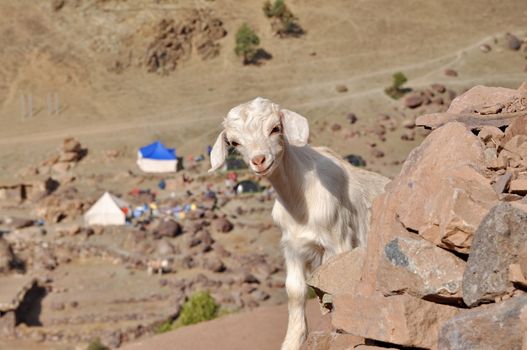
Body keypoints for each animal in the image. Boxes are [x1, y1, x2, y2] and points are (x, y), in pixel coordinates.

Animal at [209, 96, 388, 350]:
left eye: (275, 128)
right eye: (235, 142)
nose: (259, 160)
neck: (299, 203)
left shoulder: (338, 242)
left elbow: (331, 289)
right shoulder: (293, 248)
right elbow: (295, 291)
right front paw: (292, 341)